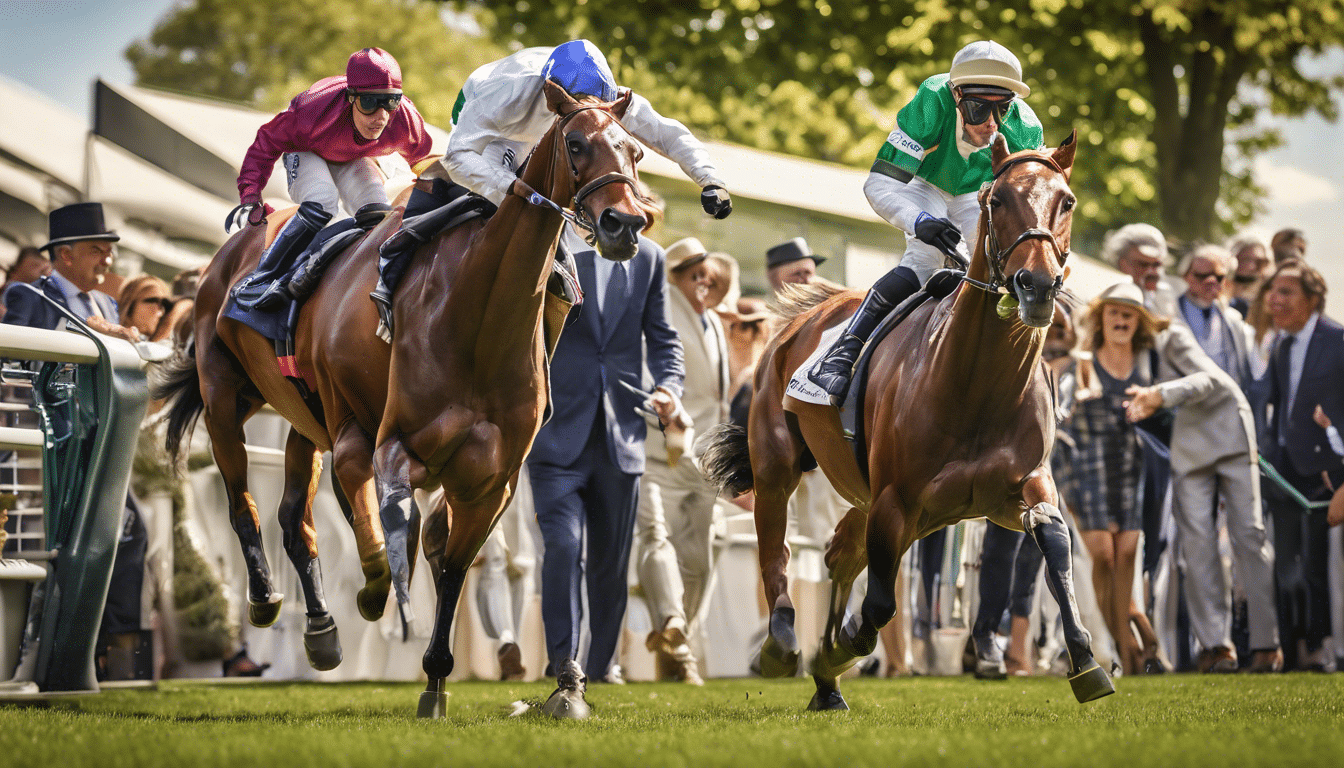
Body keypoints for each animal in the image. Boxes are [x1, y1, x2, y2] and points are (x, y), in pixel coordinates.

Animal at [155, 79, 650, 699]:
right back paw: (267, 598)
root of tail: (228, 257)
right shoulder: (380, 442)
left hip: (301, 421)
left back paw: (321, 629)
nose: (625, 224)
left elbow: (452, 561)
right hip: (226, 397)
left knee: (295, 521)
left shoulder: (492, 481)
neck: (478, 318)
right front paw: (376, 594)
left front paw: (435, 677)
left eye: (636, 152)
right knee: (244, 503)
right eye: (578, 143)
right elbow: (389, 534)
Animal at [704, 130, 1112, 710]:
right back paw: (783, 642)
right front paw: (841, 646)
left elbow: (1053, 539)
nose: (1036, 284)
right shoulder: (897, 500)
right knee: (775, 541)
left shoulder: (1012, 489)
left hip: (882, 501)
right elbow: (878, 606)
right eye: (997, 199)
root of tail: (804, 315)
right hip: (779, 458)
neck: (976, 387)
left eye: (1068, 201)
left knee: (838, 553)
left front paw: (1085, 659)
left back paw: (827, 685)